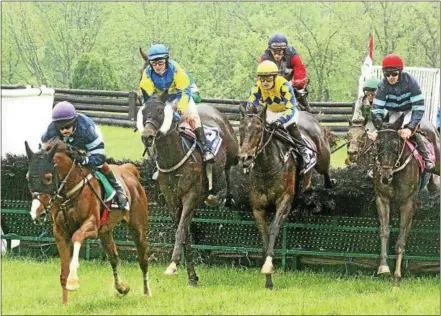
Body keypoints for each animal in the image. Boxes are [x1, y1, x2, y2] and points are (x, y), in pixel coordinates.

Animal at [24, 138, 151, 304]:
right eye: (27, 177)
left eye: (48, 177)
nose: (36, 213)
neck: (68, 193)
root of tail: (130, 170)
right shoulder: (60, 232)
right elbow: (63, 272)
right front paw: (65, 303)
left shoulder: (92, 225)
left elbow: (77, 236)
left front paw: (73, 281)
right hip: (105, 232)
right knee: (113, 257)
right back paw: (122, 288)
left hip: (138, 227)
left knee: (143, 258)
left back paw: (147, 293)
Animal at [138, 92, 239, 286]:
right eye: (144, 112)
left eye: (161, 112)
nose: (147, 136)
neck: (174, 158)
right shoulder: (172, 201)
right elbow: (185, 234)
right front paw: (192, 276)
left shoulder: (190, 196)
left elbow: (180, 232)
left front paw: (172, 264)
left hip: (233, 151)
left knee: (230, 168)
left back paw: (223, 195)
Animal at [239, 103, 332, 288]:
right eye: (240, 128)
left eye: (258, 129)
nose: (245, 158)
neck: (267, 167)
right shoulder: (257, 207)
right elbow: (264, 234)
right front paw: (268, 279)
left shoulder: (284, 200)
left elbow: (274, 228)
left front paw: (268, 265)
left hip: (323, 159)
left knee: (326, 174)